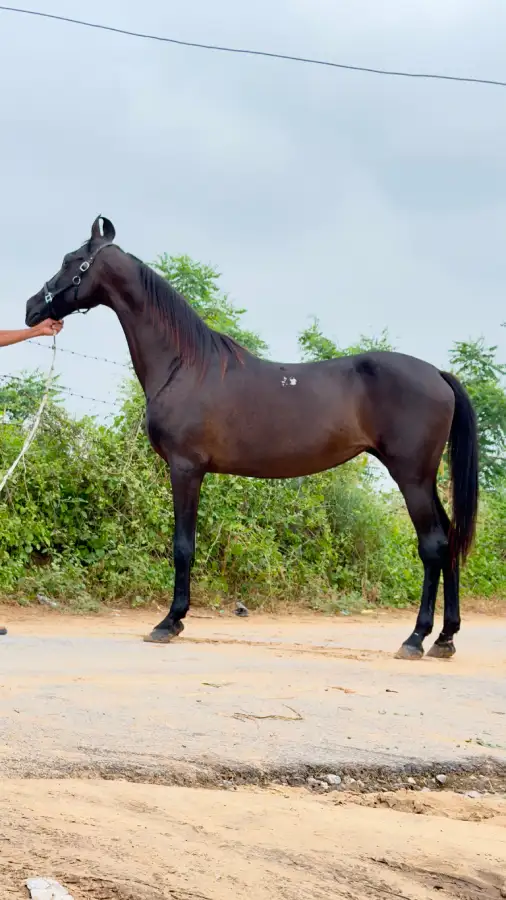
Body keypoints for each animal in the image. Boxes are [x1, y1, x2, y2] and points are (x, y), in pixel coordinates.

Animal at [25, 216, 478, 659]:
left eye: (71, 260)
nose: (31, 308)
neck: (185, 365)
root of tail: (437, 374)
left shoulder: (186, 469)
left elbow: (183, 545)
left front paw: (169, 622)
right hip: (424, 478)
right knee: (450, 539)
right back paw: (445, 638)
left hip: (411, 476)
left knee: (433, 545)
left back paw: (416, 638)